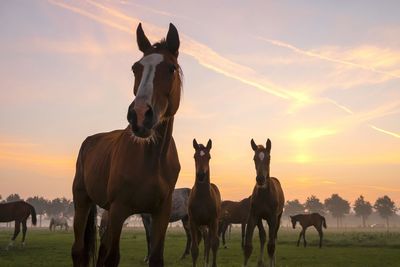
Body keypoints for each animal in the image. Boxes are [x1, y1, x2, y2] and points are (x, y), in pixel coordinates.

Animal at [71, 23, 182, 267]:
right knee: (79, 251)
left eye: (171, 68)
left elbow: (155, 257)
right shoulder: (119, 210)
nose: (140, 115)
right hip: (82, 201)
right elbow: (113, 257)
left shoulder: (161, 214)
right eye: (135, 68)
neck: (151, 160)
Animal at [188, 139, 222, 267]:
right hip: (202, 226)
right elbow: (194, 249)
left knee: (209, 242)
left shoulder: (214, 221)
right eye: (195, 156)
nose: (201, 175)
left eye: (209, 157)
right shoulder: (193, 222)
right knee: (206, 240)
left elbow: (215, 244)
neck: (202, 197)